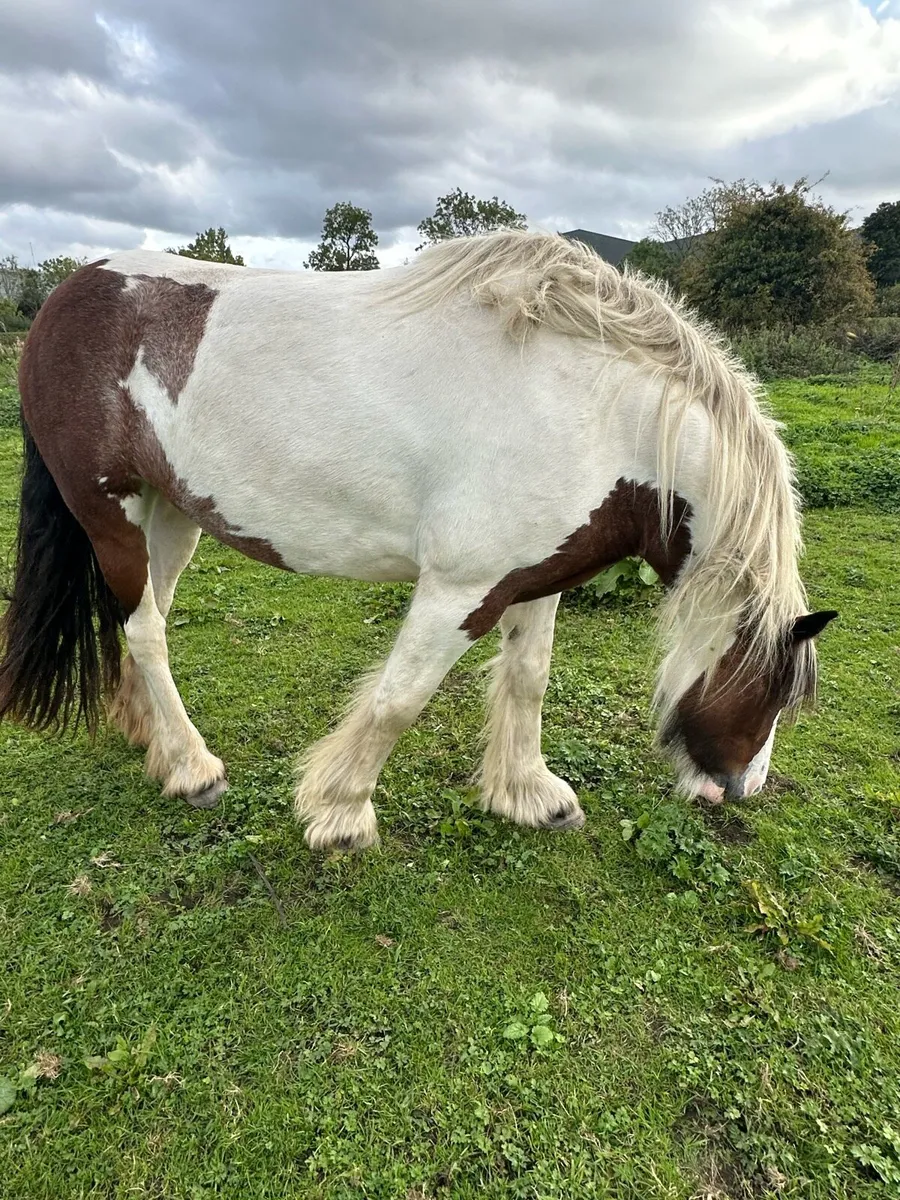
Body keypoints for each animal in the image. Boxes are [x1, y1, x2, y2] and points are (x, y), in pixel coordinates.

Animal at [0, 231, 836, 850]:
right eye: (772, 694)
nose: (737, 790)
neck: (594, 413)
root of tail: (68, 296)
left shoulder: (538, 578)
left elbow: (528, 677)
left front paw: (528, 793)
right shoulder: (461, 589)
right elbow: (400, 699)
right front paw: (339, 813)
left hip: (171, 516)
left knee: (146, 622)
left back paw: (151, 738)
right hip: (109, 513)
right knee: (145, 630)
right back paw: (192, 767)